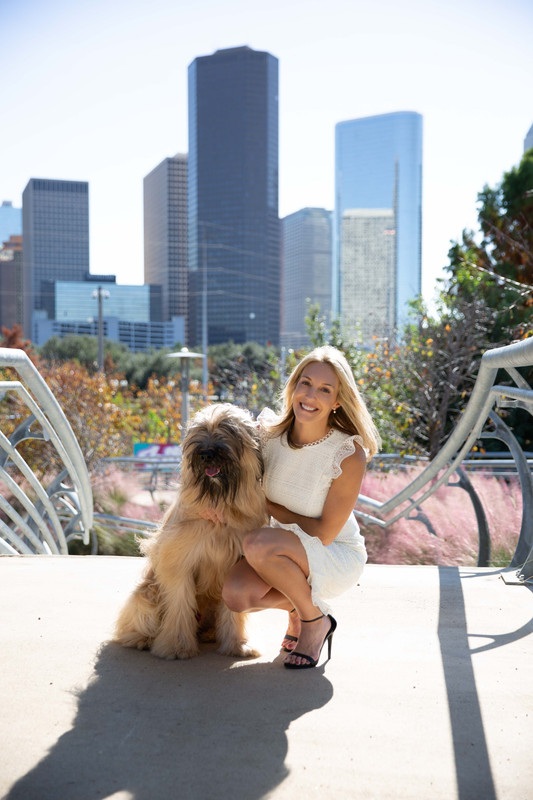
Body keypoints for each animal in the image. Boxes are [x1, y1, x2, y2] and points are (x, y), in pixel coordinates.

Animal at [115, 404, 268, 660]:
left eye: (228, 429)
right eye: (200, 430)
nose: (206, 453)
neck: (218, 507)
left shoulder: (234, 566)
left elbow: (233, 610)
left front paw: (237, 645)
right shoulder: (178, 564)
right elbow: (179, 604)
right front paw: (177, 647)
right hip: (148, 593)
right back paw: (142, 639)